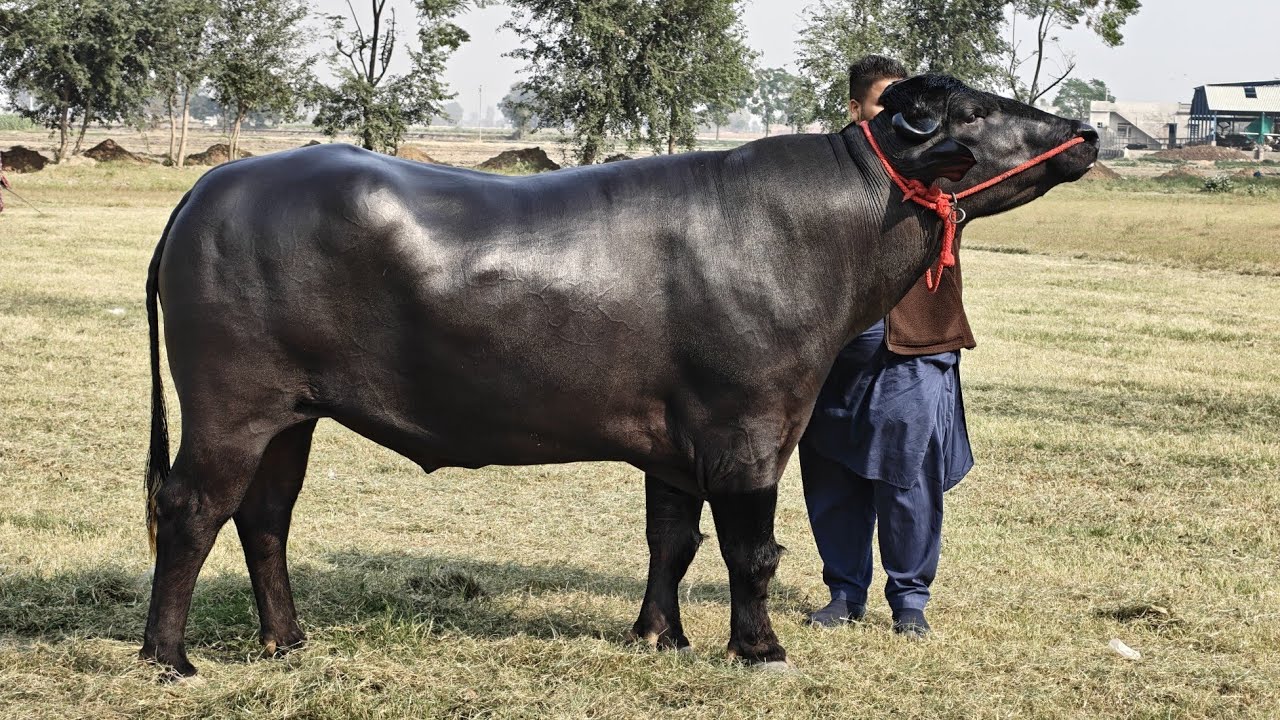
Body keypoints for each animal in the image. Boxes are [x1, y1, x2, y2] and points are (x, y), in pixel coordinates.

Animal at [140, 74, 1098, 677]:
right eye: (972, 108)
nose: (1083, 133)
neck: (820, 231)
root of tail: (211, 188)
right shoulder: (750, 430)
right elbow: (751, 550)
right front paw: (761, 651)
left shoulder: (676, 443)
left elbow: (671, 539)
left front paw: (660, 636)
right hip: (231, 407)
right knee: (192, 510)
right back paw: (169, 657)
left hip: (291, 415)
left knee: (265, 518)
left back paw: (288, 640)